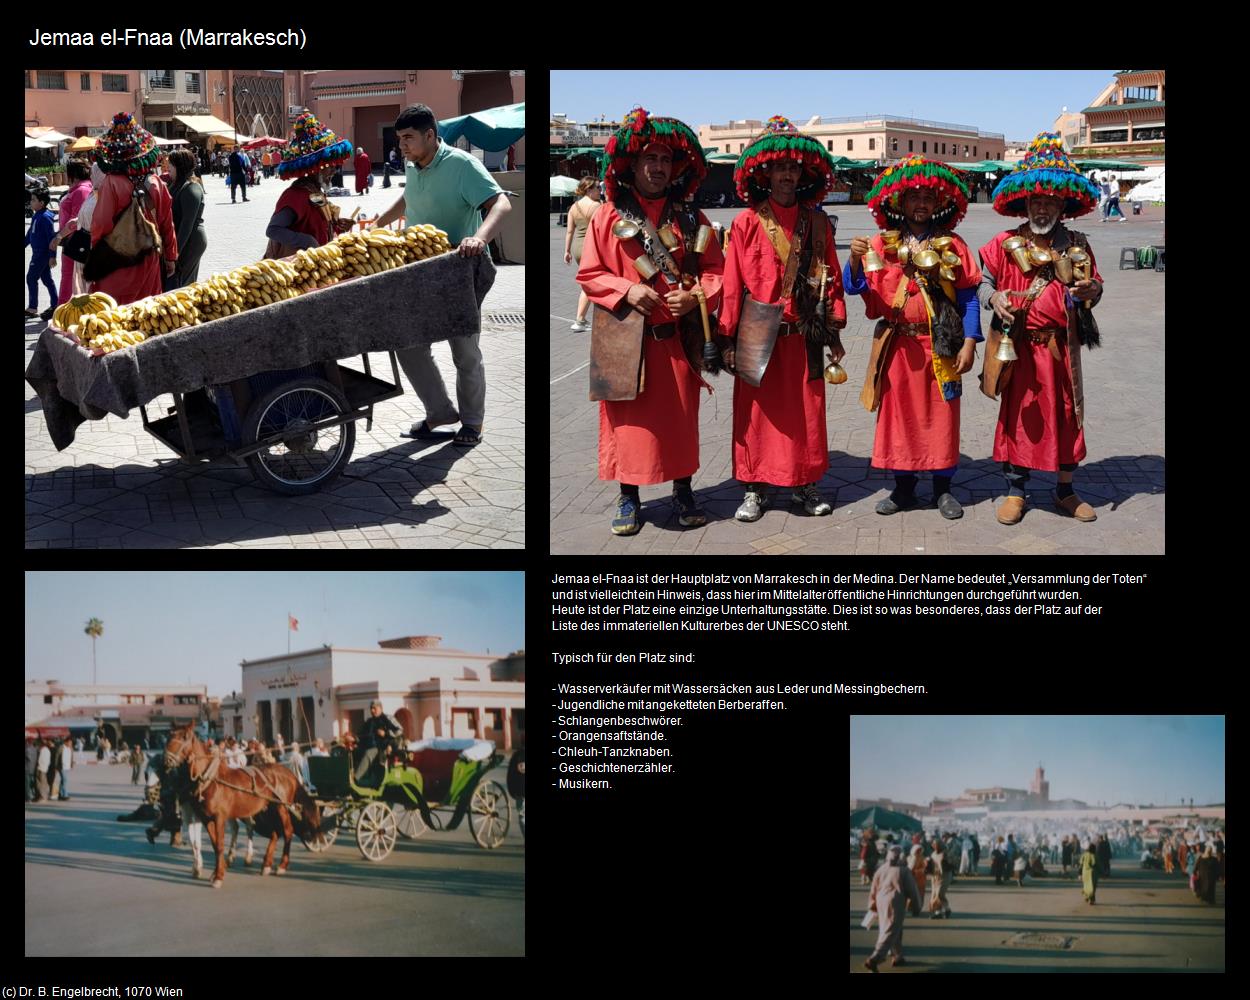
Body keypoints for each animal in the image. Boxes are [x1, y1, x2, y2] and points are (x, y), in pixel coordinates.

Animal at [162, 725, 322, 890]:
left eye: (184, 738)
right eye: (169, 736)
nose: (166, 760)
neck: (211, 780)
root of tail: (288, 773)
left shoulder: (219, 818)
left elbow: (219, 845)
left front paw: (218, 876)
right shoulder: (206, 819)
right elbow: (213, 845)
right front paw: (215, 871)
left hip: (282, 807)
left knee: (288, 831)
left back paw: (282, 865)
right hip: (268, 809)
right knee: (275, 832)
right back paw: (266, 864)